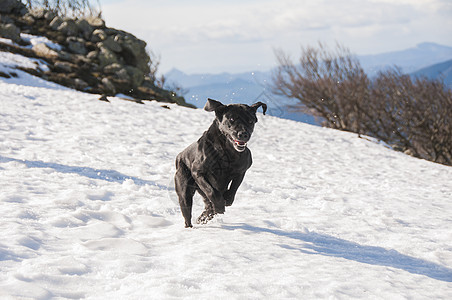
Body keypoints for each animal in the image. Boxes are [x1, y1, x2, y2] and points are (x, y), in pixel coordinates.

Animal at [175, 98, 266, 227]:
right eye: (231, 119)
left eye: (250, 121)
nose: (243, 134)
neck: (228, 153)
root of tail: (179, 156)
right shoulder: (198, 172)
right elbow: (211, 190)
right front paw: (219, 205)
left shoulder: (241, 171)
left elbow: (233, 188)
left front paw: (227, 199)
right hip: (184, 192)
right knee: (188, 212)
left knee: (208, 206)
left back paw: (203, 217)